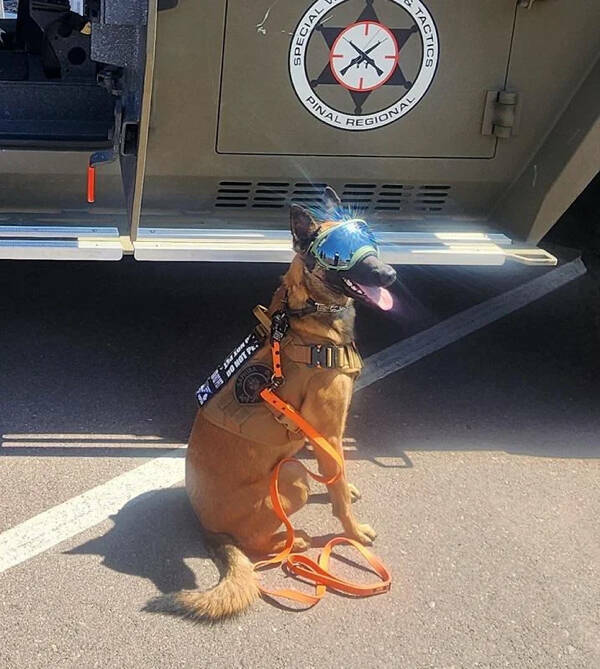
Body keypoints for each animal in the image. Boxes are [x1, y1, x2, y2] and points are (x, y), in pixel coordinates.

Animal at [148, 185, 396, 620]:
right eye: (340, 253)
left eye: (370, 240)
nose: (391, 275)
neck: (306, 314)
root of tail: (205, 527)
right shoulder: (329, 431)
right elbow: (336, 491)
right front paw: (353, 533)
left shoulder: (326, 436)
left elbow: (337, 474)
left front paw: (346, 489)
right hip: (292, 479)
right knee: (254, 544)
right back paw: (293, 543)